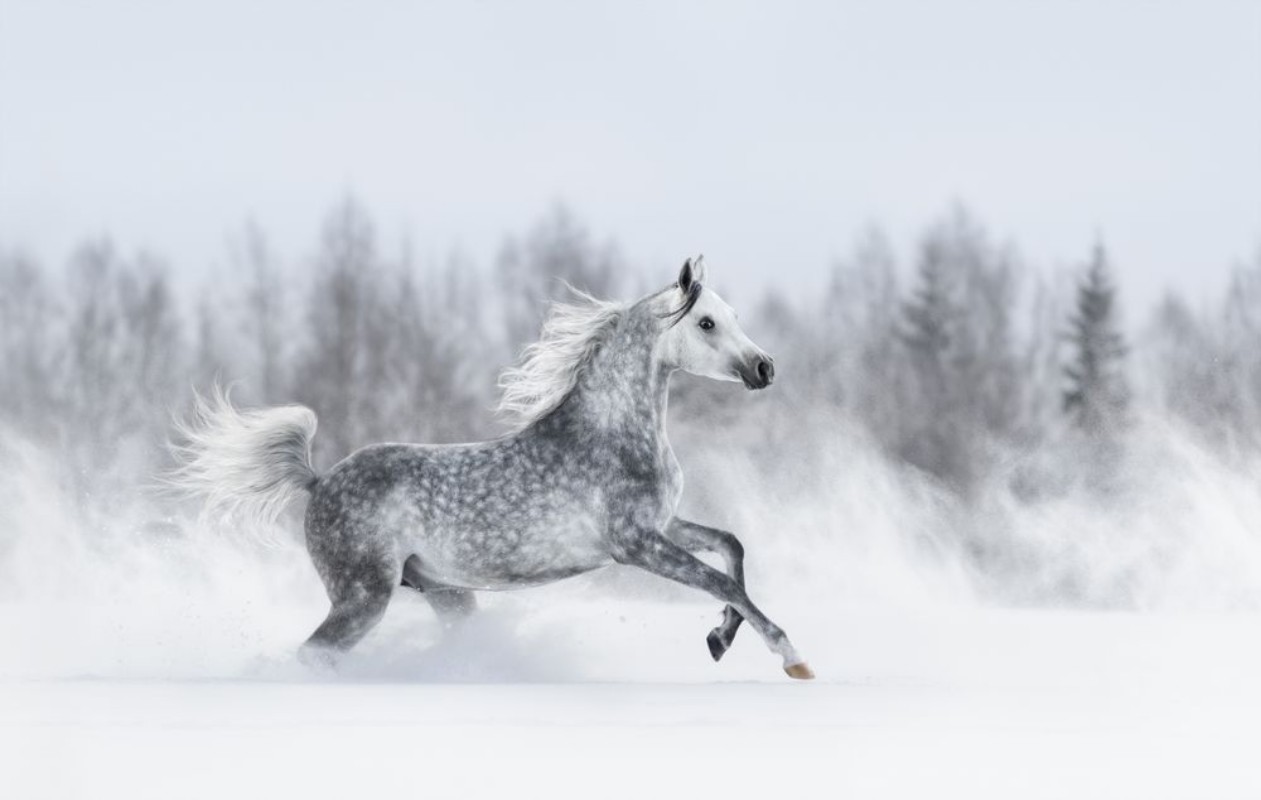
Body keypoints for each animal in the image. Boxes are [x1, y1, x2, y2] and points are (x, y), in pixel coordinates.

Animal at [173, 257, 813, 679]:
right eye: (706, 323)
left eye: (733, 315)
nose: (765, 368)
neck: (612, 433)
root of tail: (318, 480)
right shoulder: (636, 544)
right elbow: (721, 579)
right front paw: (792, 657)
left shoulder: (664, 525)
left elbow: (731, 548)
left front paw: (719, 639)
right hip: (363, 596)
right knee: (314, 654)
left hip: (445, 593)